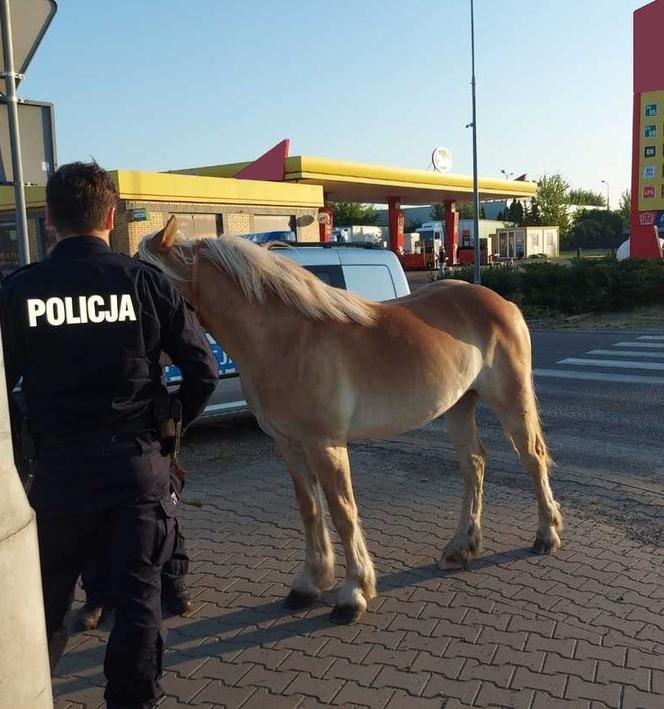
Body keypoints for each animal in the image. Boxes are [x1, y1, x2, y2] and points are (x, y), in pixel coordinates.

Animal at [139, 218, 560, 624]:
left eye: (148, 282)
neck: (284, 340)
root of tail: (502, 302)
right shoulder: (289, 444)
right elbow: (310, 509)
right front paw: (309, 583)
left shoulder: (325, 445)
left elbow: (343, 513)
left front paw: (353, 593)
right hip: (458, 406)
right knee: (474, 466)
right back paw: (461, 548)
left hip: (511, 401)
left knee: (532, 459)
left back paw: (546, 535)